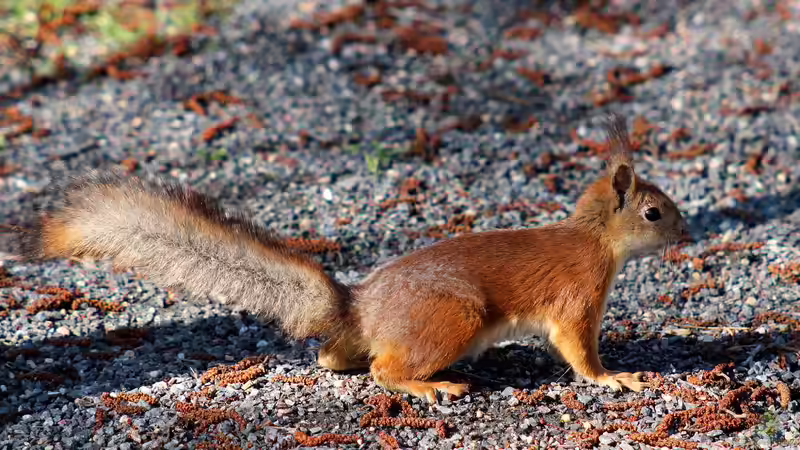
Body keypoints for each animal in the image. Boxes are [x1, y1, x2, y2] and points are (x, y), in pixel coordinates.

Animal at [17, 113, 692, 404]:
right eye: (653, 213)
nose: (687, 234)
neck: (597, 240)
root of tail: (360, 310)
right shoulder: (578, 295)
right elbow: (579, 350)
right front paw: (614, 376)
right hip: (453, 319)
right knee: (383, 371)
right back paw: (432, 386)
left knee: (335, 359)